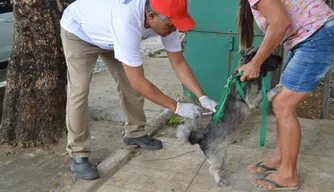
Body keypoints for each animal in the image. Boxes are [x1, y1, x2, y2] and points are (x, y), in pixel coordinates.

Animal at [176, 47, 284, 188]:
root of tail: (201, 138)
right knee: (212, 169)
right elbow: (266, 92)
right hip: (219, 158)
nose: (282, 58)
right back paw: (219, 181)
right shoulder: (252, 100)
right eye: (269, 56)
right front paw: (277, 87)